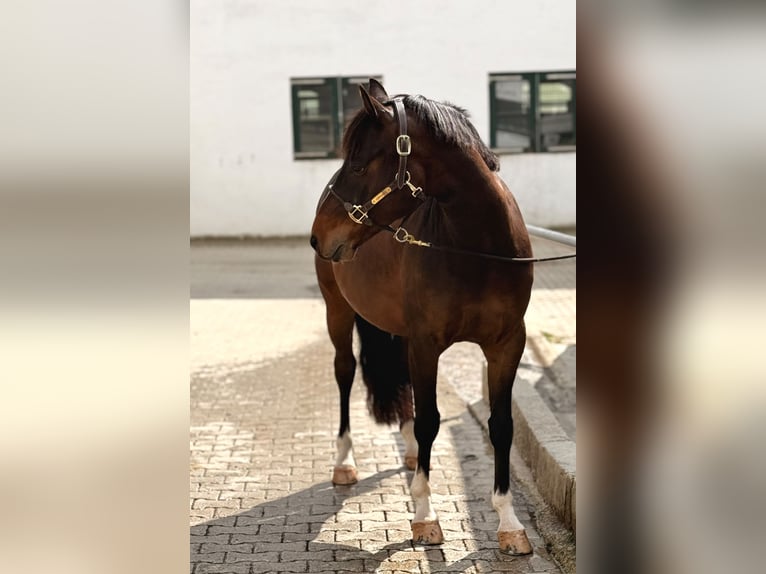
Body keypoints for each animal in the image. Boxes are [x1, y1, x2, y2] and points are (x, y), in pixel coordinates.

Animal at [310, 79, 534, 555]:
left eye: (360, 164)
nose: (319, 235)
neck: (477, 249)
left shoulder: (507, 344)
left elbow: (501, 426)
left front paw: (509, 523)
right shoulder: (428, 343)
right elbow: (432, 420)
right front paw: (425, 515)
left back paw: (410, 449)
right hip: (338, 310)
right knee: (344, 371)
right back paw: (344, 462)